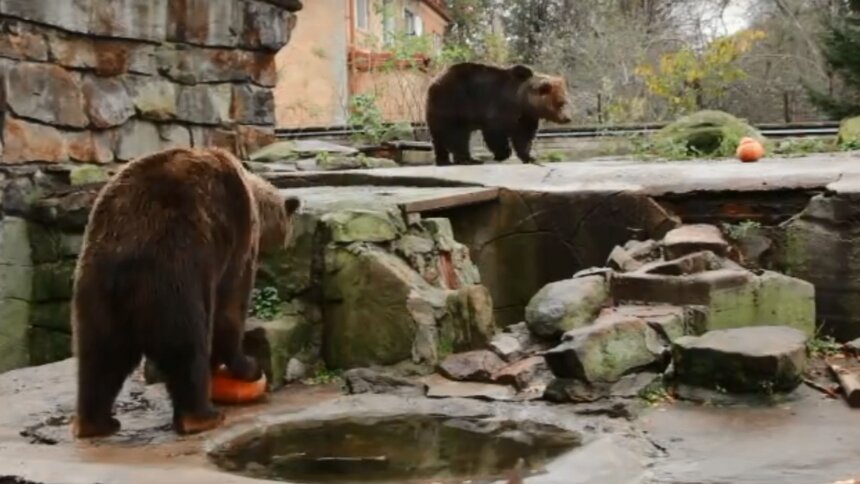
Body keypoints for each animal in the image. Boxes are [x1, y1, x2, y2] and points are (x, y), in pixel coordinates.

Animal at [69, 146, 302, 436]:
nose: (288, 244)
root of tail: (124, 258)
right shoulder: (237, 242)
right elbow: (231, 307)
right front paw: (248, 365)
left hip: (96, 289)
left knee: (99, 355)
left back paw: (97, 423)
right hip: (174, 275)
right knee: (186, 346)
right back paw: (203, 416)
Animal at [424, 62, 572, 166]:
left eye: (565, 101)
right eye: (561, 103)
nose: (568, 118)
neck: (522, 102)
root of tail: (435, 81)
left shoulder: (526, 117)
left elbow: (524, 136)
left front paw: (530, 157)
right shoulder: (498, 106)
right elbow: (496, 132)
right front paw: (503, 153)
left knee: (439, 137)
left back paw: (444, 160)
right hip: (453, 101)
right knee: (456, 134)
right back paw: (469, 159)